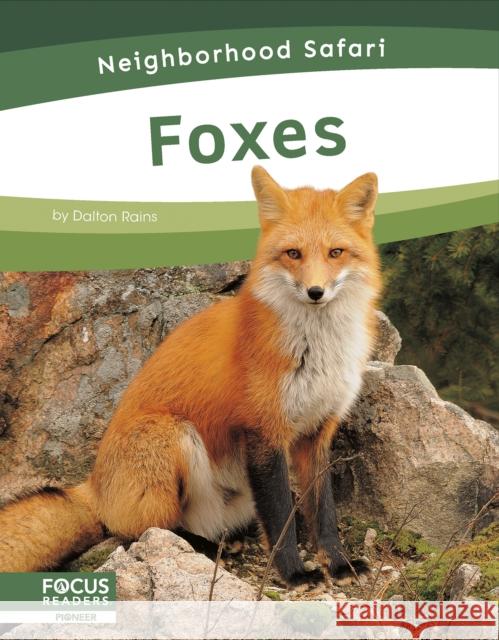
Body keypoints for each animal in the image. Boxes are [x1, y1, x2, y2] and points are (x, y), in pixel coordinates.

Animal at [0, 167, 381, 586]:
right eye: (293, 253)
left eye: (335, 252)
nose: (316, 292)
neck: (316, 350)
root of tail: (94, 484)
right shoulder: (265, 431)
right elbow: (280, 517)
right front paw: (294, 573)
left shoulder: (318, 431)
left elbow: (324, 511)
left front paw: (340, 564)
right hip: (171, 435)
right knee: (142, 531)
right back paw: (200, 547)